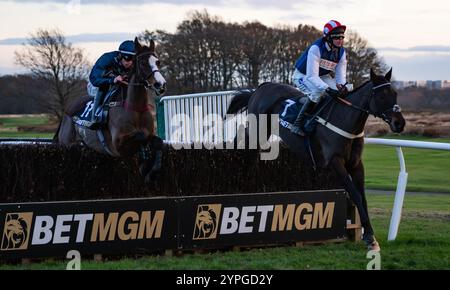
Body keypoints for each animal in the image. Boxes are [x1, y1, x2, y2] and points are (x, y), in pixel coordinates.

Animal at [54, 37, 166, 182]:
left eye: (157, 61)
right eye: (142, 63)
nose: (160, 85)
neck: (135, 108)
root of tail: (66, 111)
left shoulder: (150, 134)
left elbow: (158, 142)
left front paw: (151, 170)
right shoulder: (119, 144)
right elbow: (141, 136)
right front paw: (145, 161)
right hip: (67, 144)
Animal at [227, 68, 406, 251]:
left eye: (395, 93)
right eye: (382, 96)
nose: (399, 123)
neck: (345, 119)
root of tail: (262, 86)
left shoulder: (356, 164)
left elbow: (363, 198)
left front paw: (370, 237)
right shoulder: (335, 162)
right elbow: (355, 195)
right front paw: (369, 236)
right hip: (257, 130)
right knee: (243, 141)